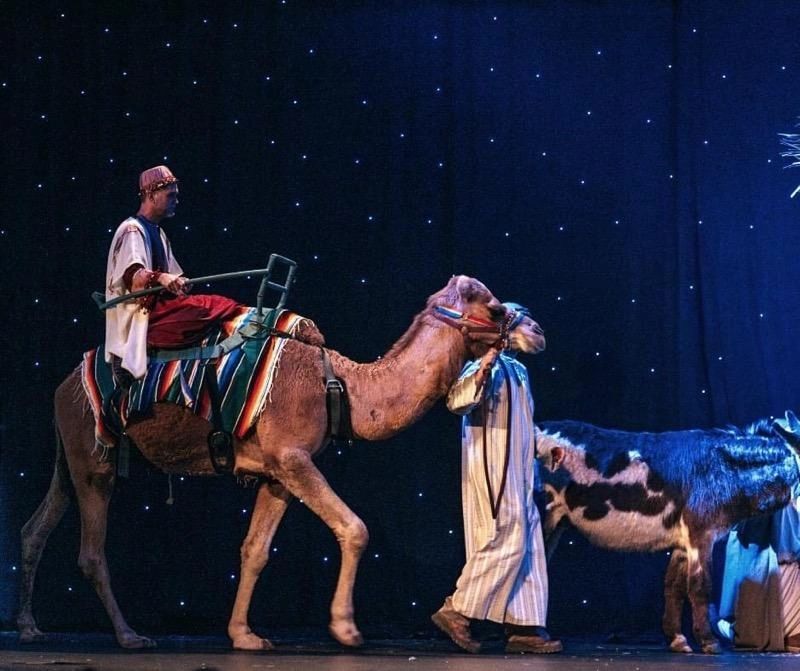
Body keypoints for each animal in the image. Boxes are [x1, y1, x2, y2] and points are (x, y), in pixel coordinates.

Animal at [18, 275, 546, 651]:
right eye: (495, 307)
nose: (537, 331)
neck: (342, 386)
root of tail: (64, 384)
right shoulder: (294, 458)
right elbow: (355, 528)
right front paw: (346, 629)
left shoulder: (276, 474)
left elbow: (254, 550)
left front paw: (244, 636)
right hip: (94, 458)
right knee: (90, 550)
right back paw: (129, 637)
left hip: (71, 455)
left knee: (36, 527)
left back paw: (29, 628)